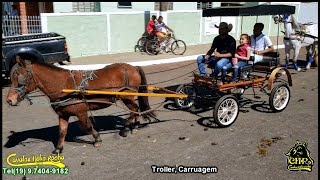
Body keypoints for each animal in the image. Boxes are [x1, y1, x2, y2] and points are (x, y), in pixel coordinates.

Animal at [6, 56, 157, 153]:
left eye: (19, 77)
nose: (9, 100)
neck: (63, 86)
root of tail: (132, 67)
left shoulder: (81, 112)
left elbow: (88, 126)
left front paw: (97, 140)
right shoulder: (63, 114)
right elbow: (62, 131)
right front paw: (58, 149)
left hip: (127, 97)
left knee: (134, 109)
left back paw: (126, 128)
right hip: (128, 98)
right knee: (135, 110)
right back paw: (134, 126)